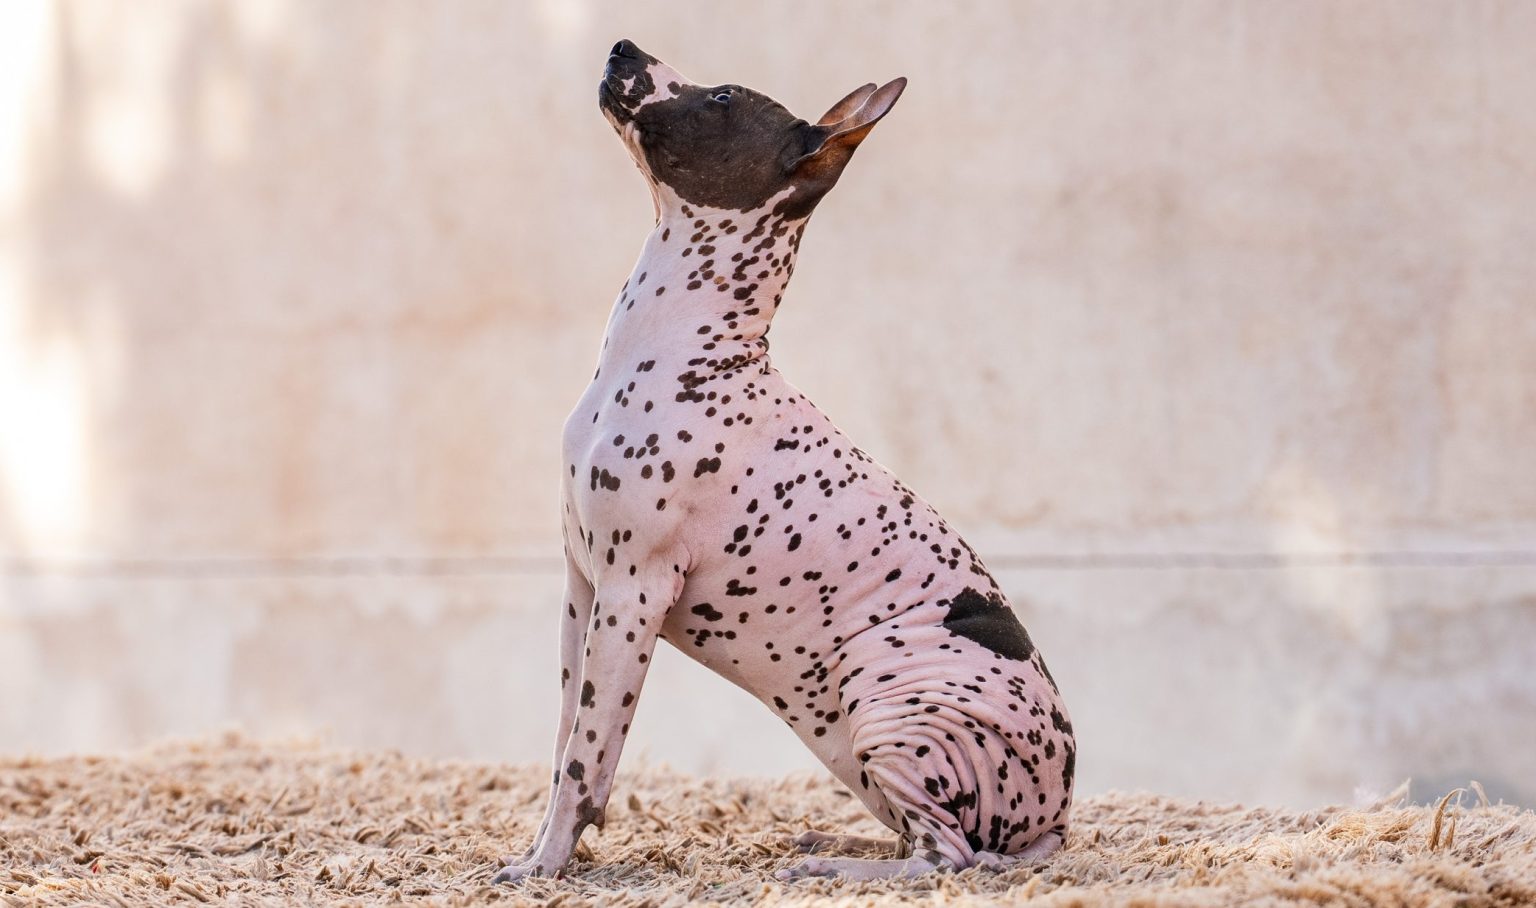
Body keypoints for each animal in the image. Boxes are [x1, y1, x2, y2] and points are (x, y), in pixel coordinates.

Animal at [494, 40, 1074, 883]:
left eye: (723, 97)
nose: (622, 48)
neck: (683, 348)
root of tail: (1058, 816)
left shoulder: (632, 593)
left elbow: (585, 758)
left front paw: (546, 868)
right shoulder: (582, 591)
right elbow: (567, 743)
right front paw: (545, 850)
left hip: (886, 696)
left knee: (945, 856)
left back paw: (839, 870)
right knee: (923, 837)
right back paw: (836, 839)